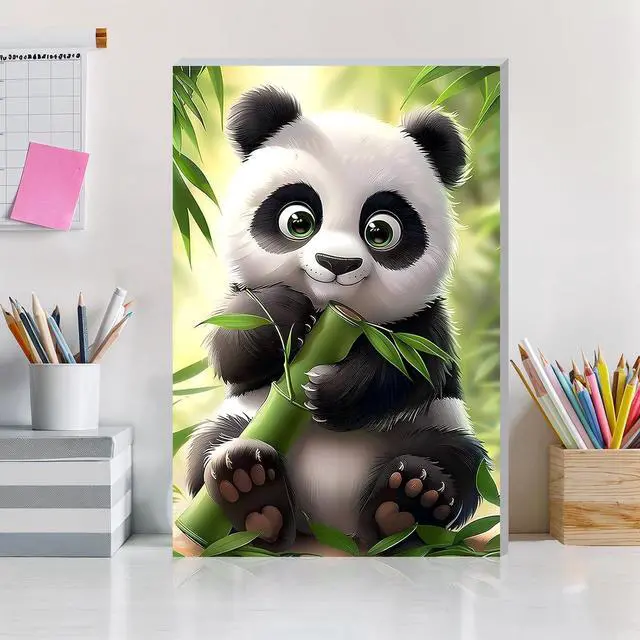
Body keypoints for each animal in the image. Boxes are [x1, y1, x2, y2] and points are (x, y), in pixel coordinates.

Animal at [186, 85, 488, 551]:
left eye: (381, 231)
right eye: (299, 221)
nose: (337, 264)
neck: (334, 313)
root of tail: (329, 525)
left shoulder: (424, 321)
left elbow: (413, 368)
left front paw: (325, 393)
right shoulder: (240, 300)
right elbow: (232, 350)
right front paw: (286, 315)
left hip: (434, 425)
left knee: (456, 460)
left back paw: (406, 503)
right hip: (247, 422)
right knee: (212, 445)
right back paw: (254, 497)